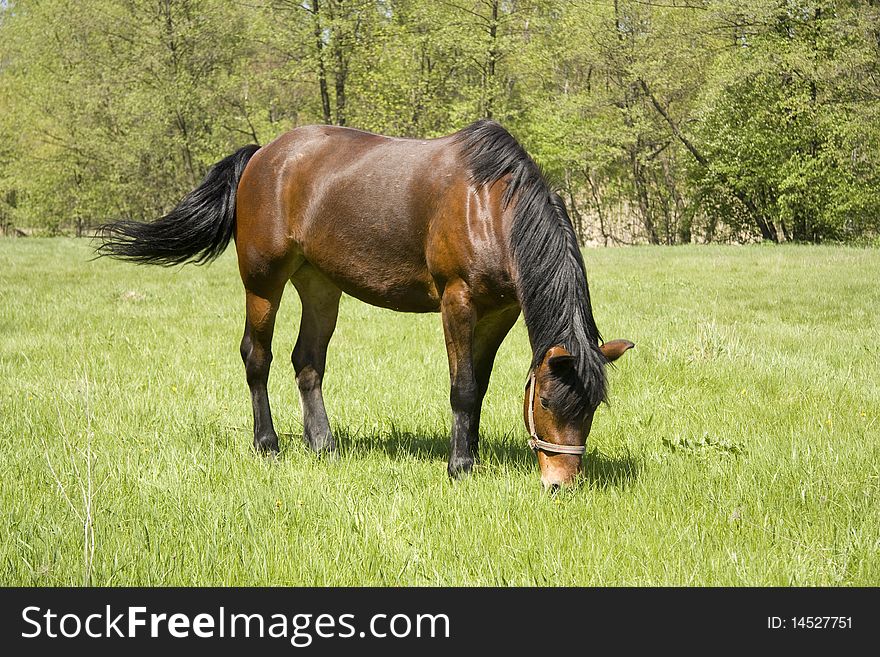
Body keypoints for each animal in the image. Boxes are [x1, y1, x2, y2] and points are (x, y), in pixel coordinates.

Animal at [98, 120, 632, 484]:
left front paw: (474, 455)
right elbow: (462, 387)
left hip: (319, 285)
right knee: (257, 357)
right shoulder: (457, 301)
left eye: (591, 409)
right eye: (546, 401)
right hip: (263, 282)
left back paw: (323, 445)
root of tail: (263, 154)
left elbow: (478, 387)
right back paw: (267, 444)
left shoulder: (500, 312)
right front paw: (459, 465)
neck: (490, 206)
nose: (561, 484)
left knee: (307, 361)